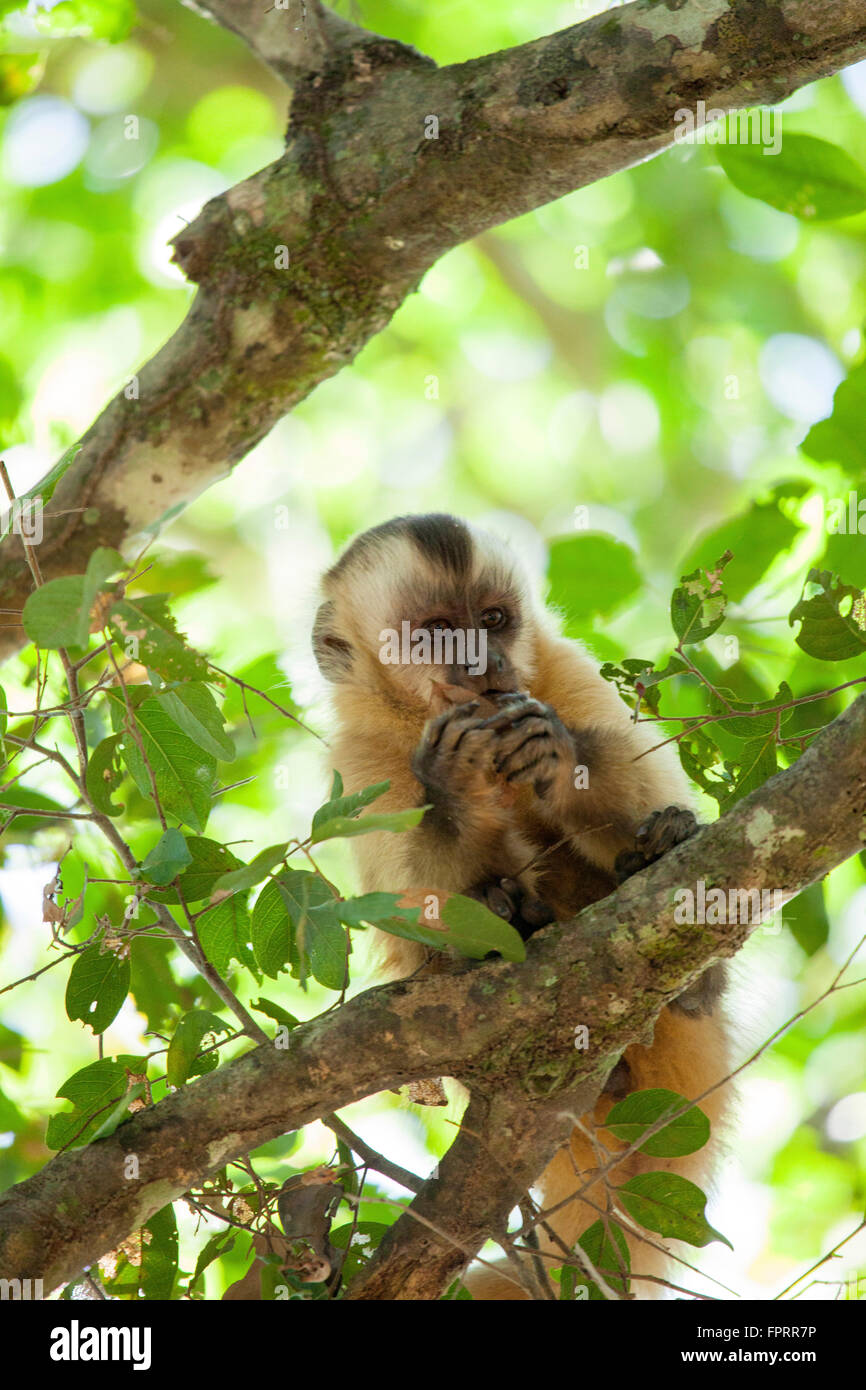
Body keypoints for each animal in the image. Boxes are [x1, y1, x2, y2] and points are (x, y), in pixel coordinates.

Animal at [312, 514, 733, 1301]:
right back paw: (513, 916)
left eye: (493, 621)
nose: (483, 662)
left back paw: (692, 969)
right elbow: (412, 911)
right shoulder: (358, 761)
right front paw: (450, 786)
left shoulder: (563, 670)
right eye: (438, 631)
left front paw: (558, 754)